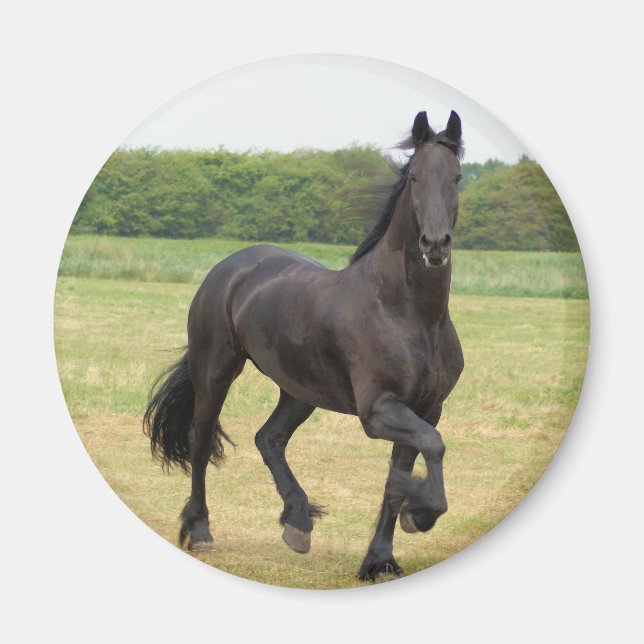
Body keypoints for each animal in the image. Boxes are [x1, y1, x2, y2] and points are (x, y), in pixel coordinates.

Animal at [143, 110, 465, 580]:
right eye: (414, 177)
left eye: (457, 176)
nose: (435, 244)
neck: (410, 314)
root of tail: (231, 266)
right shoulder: (378, 410)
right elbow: (434, 445)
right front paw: (418, 514)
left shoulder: (426, 408)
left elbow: (399, 473)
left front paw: (380, 559)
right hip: (216, 370)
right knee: (201, 441)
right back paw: (200, 531)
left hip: (299, 390)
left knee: (269, 439)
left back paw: (297, 522)